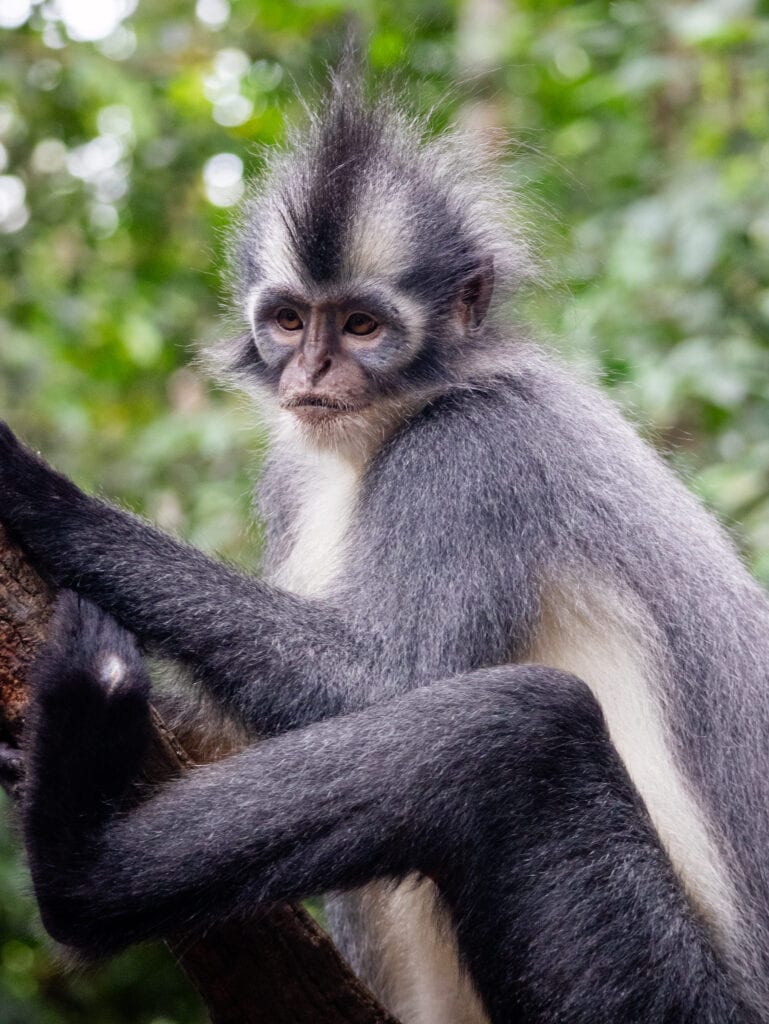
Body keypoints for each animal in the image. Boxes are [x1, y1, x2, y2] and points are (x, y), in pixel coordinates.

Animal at [1, 72, 769, 1024]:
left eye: (362, 327)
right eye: (289, 321)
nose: (311, 374)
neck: (388, 423)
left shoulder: (473, 448)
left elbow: (381, 681)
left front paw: (43, 497)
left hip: (665, 993)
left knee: (516, 731)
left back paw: (75, 859)